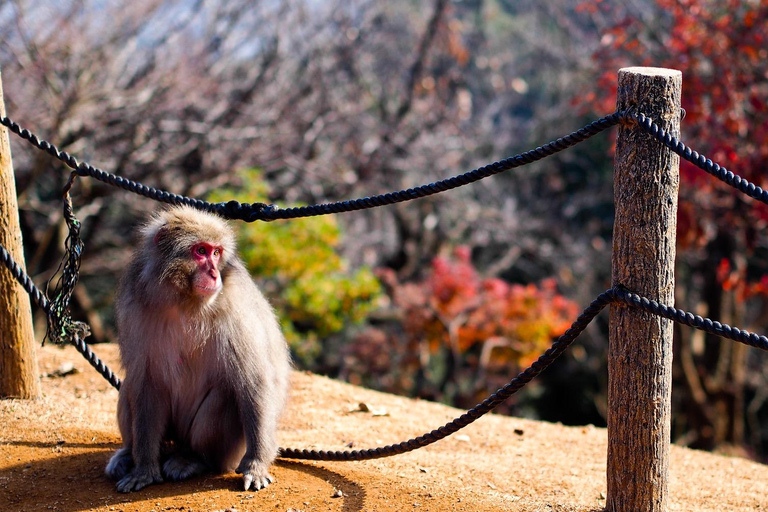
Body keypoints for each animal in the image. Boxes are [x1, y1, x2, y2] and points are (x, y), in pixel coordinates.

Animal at [105, 205, 291, 493]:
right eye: (200, 251)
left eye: (216, 253)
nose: (214, 274)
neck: (184, 301)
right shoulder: (134, 305)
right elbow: (146, 382)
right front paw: (144, 469)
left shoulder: (235, 307)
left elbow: (254, 381)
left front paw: (256, 465)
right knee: (129, 388)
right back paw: (128, 454)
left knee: (226, 394)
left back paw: (193, 459)